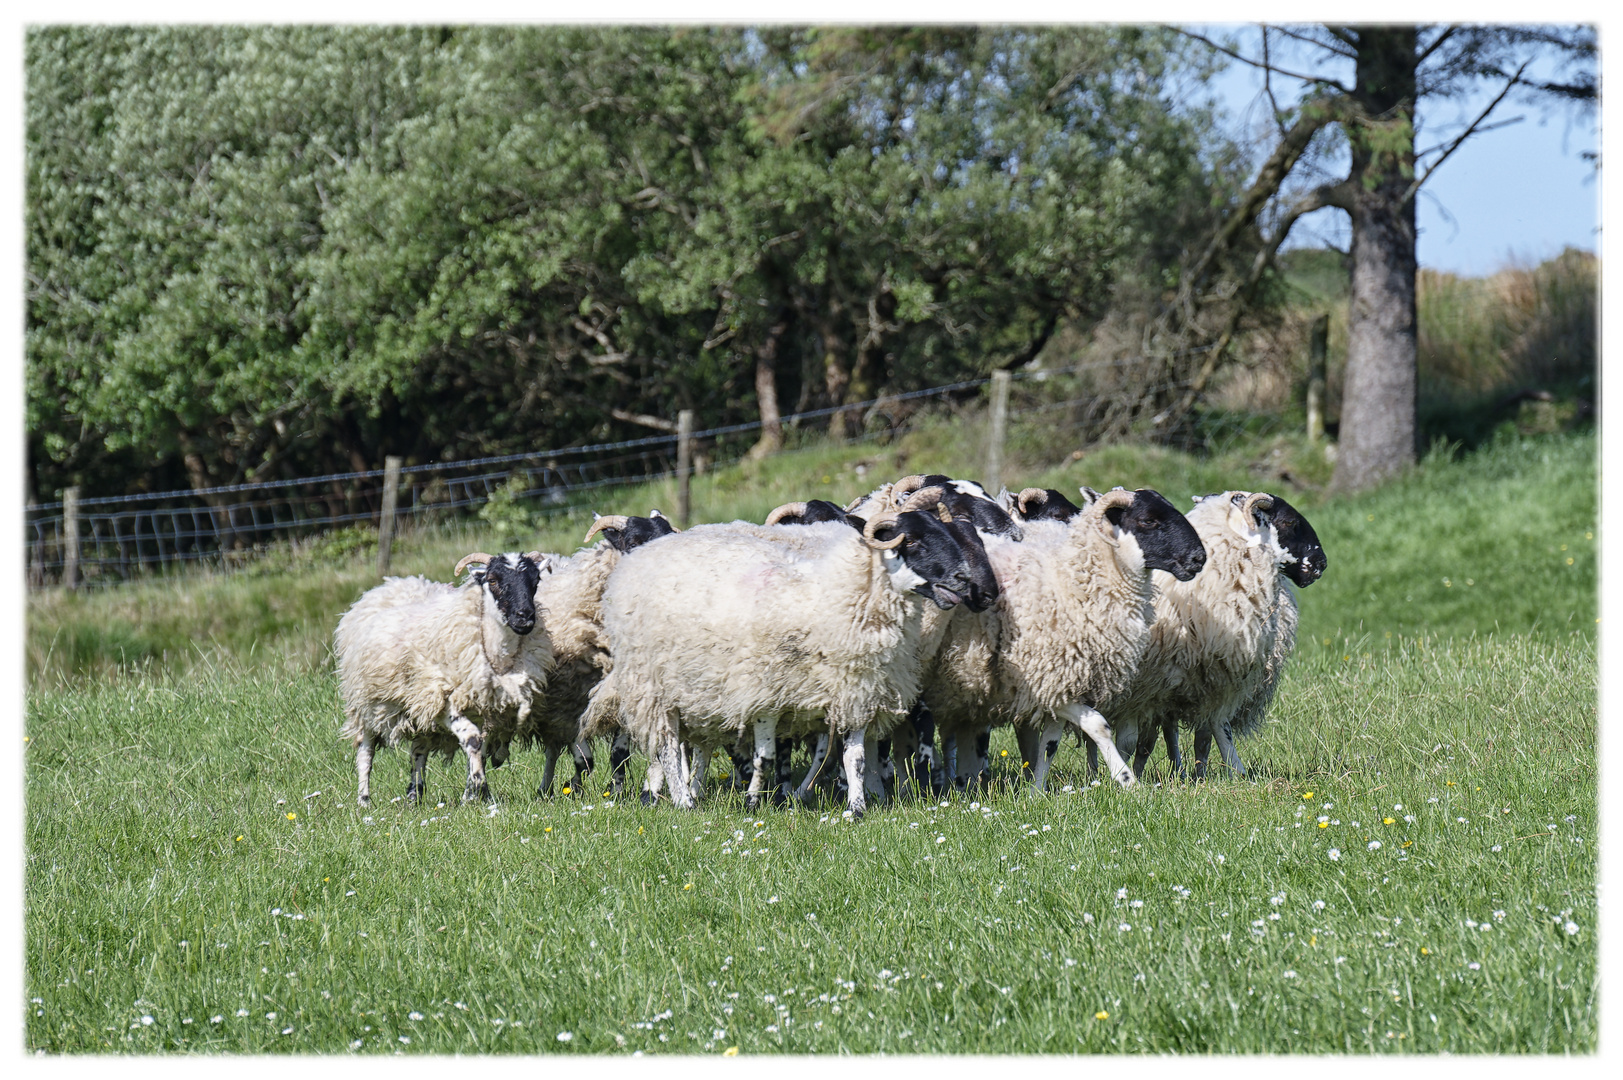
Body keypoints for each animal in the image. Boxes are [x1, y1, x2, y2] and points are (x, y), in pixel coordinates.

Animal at [335, 552, 551, 805]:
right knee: (365, 750)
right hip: (366, 702)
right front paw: (479, 789)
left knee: (418, 751)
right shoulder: (445, 703)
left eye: (536, 581)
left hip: (418, 706)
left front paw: (471, 794)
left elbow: (481, 747)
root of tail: (389, 585)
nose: (525, 616)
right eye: (493, 580)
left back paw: (414, 796)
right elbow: (473, 740)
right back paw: (364, 800)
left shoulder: (481, 707)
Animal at [590, 483, 980, 812]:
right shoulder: (766, 693)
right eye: (912, 541)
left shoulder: (855, 690)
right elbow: (765, 756)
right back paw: (682, 800)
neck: (834, 592)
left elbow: (853, 757)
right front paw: (753, 801)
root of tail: (643, 556)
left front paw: (855, 807)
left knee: (693, 744)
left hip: (696, 690)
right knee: (668, 746)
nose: (963, 578)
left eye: (943, 532)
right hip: (654, 688)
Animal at [1116, 487, 1330, 776]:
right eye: (1289, 522)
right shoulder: (1145, 689)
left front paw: (1209, 774)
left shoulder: (1209, 681)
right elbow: (1134, 740)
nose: (1322, 563)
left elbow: (1207, 735)